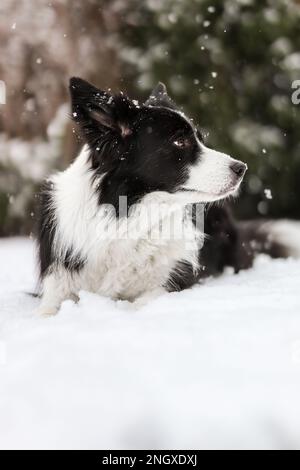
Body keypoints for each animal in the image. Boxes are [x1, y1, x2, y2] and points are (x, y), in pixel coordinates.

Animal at [37, 78, 300, 316]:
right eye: (179, 141)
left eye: (201, 139)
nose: (241, 168)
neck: (129, 217)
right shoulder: (58, 283)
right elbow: (47, 310)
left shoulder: (174, 282)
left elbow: (138, 305)